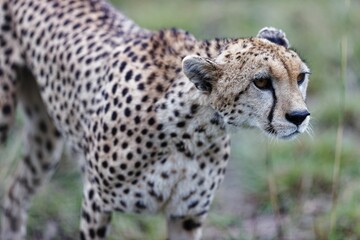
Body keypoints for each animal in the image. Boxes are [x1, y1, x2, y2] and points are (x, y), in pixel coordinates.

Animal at [0, 0, 310, 240]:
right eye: (261, 82)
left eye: (301, 77)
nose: (299, 116)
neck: (192, 130)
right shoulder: (96, 202)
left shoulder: (186, 214)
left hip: (45, 140)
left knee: (14, 196)